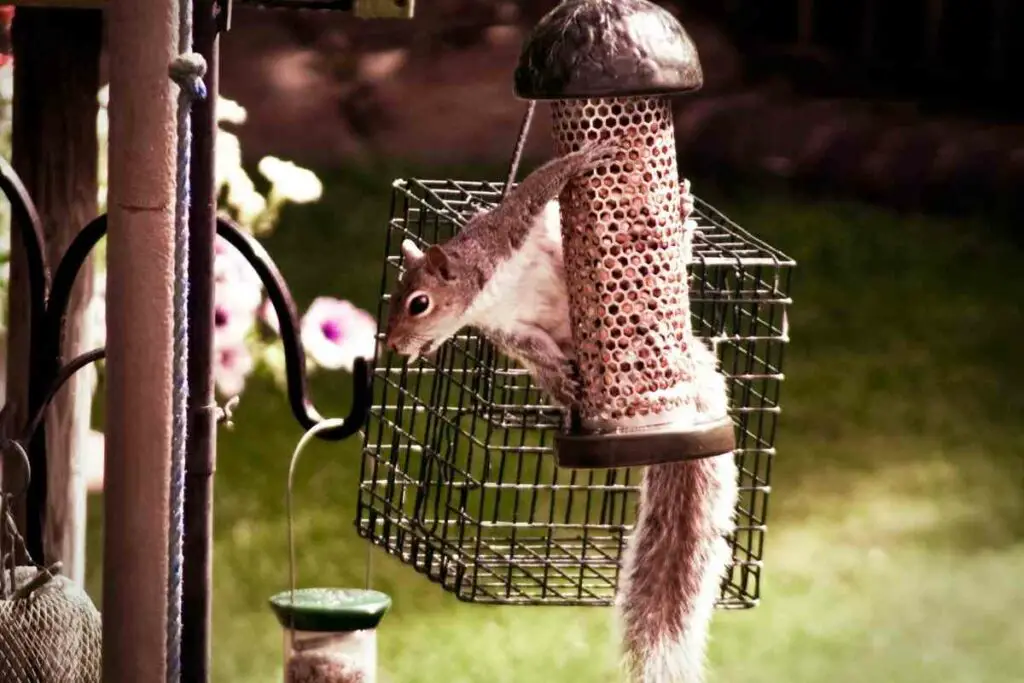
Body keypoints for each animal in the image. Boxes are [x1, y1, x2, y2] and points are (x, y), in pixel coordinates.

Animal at [380, 139, 733, 683]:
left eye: (418, 303)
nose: (393, 345)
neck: (487, 293)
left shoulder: (508, 230)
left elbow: (538, 185)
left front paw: (583, 158)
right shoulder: (513, 330)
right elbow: (538, 352)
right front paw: (560, 381)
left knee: (680, 257)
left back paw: (681, 215)